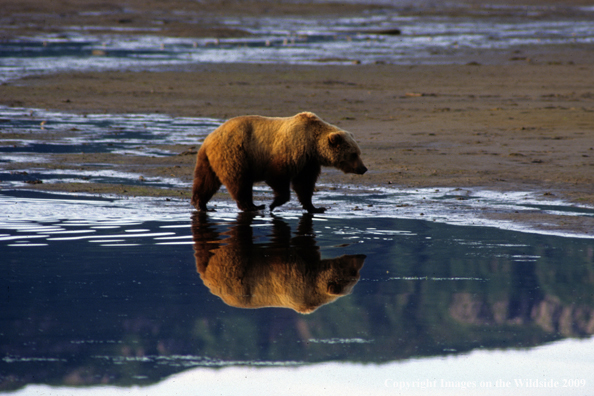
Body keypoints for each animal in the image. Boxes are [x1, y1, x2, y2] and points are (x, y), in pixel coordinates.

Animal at [190, 111, 366, 213]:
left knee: (206, 180)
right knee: (239, 180)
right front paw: (274, 204)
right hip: (235, 152)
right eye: (353, 154)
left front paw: (316, 207)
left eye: (358, 153)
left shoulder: (308, 162)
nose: (363, 168)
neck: (312, 145)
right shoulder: (291, 149)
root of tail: (209, 138)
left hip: (209, 159)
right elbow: (277, 175)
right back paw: (251, 205)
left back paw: (200, 203)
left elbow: (305, 184)